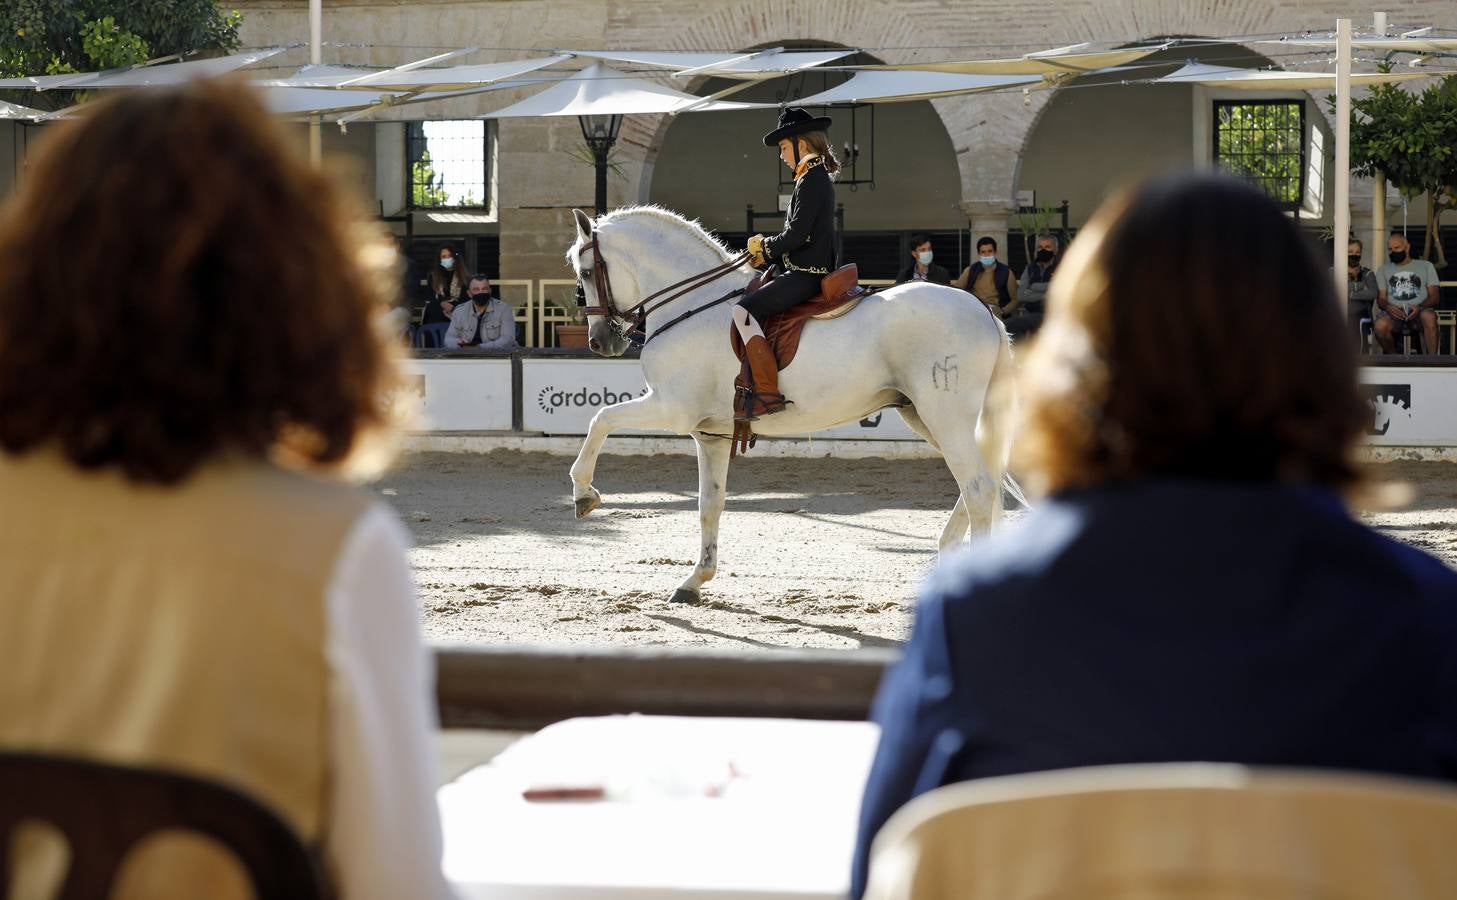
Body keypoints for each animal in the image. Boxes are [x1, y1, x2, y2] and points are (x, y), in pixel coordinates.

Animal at [565, 203, 1014, 602]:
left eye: (586, 272)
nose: (600, 341)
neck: (691, 306)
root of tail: (982, 309)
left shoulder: (670, 407)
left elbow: (601, 419)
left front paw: (584, 493)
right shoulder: (709, 435)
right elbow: (710, 505)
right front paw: (695, 581)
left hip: (946, 417)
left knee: (977, 489)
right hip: (922, 415)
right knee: (982, 486)